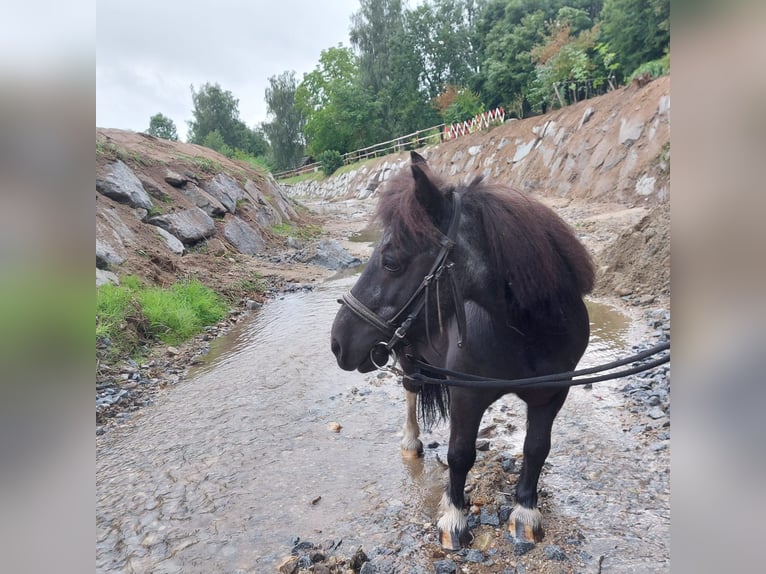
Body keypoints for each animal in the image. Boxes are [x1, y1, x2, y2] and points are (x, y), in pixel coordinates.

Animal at [330, 151, 592, 552]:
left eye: (391, 261)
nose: (338, 342)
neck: (531, 334)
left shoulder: (552, 394)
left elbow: (536, 447)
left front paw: (525, 511)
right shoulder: (467, 395)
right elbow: (459, 454)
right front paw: (454, 518)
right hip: (407, 355)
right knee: (410, 391)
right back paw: (411, 442)